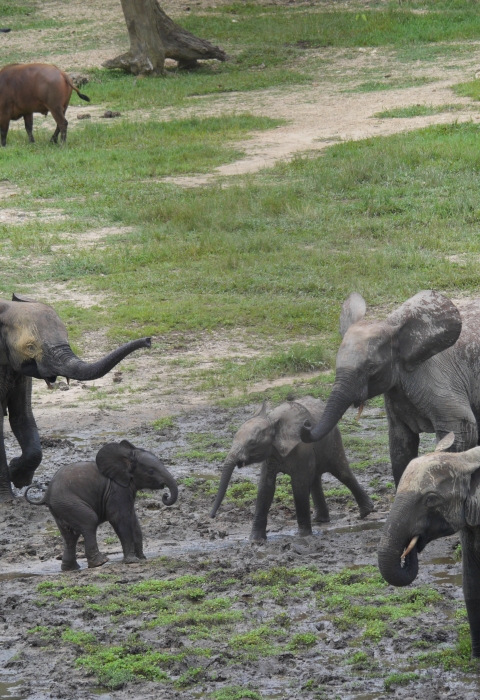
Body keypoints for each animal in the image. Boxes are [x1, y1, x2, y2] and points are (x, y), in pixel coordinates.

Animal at [25, 440, 178, 571]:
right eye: (151, 471)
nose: (165, 495)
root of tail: (47, 494)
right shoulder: (117, 490)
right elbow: (119, 519)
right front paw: (132, 560)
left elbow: (133, 519)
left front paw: (142, 558)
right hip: (68, 503)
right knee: (89, 521)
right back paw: (100, 562)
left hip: (60, 508)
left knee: (70, 536)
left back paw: (71, 569)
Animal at [210, 397, 374, 541]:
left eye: (252, 443)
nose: (212, 516)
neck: (272, 421)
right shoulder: (270, 453)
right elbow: (265, 488)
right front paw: (255, 541)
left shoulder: (302, 448)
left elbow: (298, 486)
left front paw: (303, 536)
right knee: (315, 480)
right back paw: (321, 520)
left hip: (333, 439)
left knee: (342, 472)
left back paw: (366, 512)